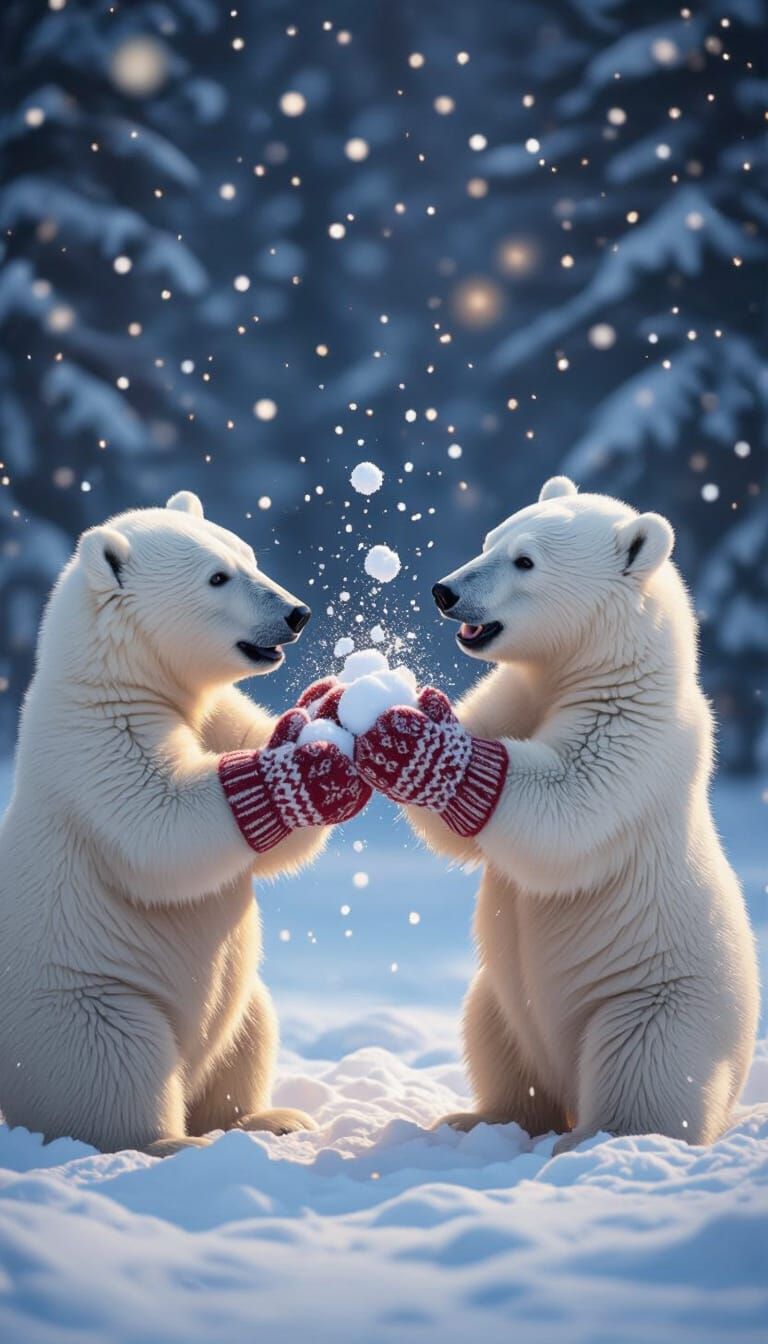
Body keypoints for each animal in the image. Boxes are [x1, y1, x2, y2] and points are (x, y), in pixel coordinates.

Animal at [0, 491, 369, 1155]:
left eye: (249, 555)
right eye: (217, 577)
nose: (297, 613)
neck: (125, 676)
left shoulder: (216, 714)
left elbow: (262, 819)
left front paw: (325, 709)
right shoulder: (92, 740)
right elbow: (160, 825)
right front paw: (315, 765)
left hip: (238, 1005)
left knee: (250, 1029)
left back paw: (269, 1119)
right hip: (85, 1002)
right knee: (116, 1065)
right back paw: (170, 1142)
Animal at [354, 477, 759, 1152]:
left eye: (525, 560)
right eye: (490, 538)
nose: (445, 591)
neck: (597, 666)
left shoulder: (636, 731)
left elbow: (567, 807)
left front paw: (406, 737)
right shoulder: (519, 694)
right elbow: (467, 826)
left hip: (655, 1004)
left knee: (644, 1071)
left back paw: (602, 1137)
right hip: (502, 997)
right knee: (494, 1036)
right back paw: (478, 1117)